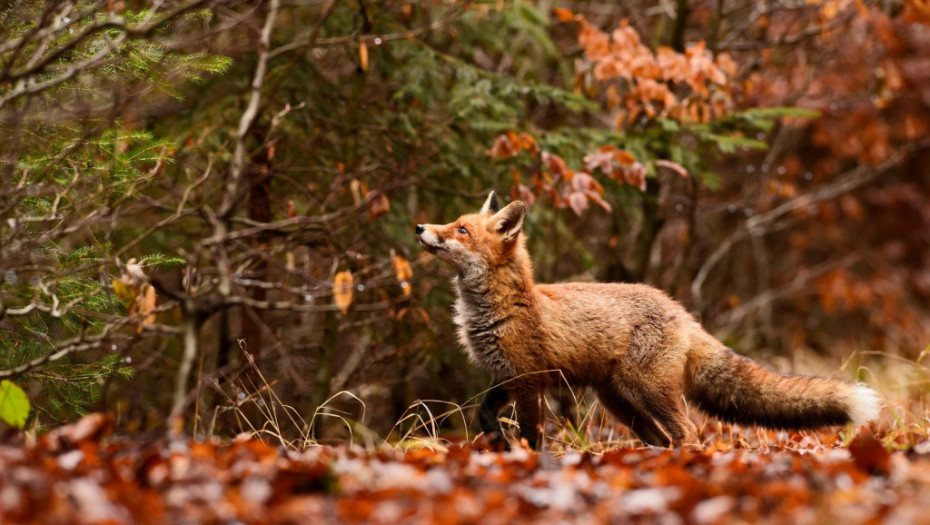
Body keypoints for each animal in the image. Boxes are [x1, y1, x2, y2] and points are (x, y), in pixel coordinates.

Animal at [414, 190, 876, 448]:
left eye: (461, 230)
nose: (419, 226)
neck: (499, 309)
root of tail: (682, 312)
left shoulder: (530, 380)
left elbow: (531, 434)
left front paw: (526, 462)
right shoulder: (505, 377)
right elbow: (483, 414)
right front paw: (496, 442)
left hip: (646, 390)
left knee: (686, 431)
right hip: (618, 400)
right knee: (659, 438)